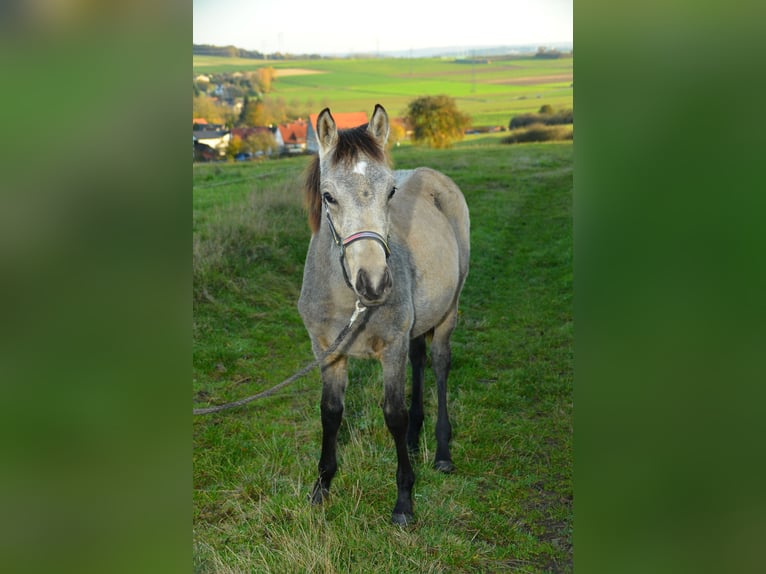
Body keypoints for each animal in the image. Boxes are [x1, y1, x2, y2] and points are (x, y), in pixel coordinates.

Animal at [298, 104, 468, 528]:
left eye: (390, 192)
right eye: (328, 196)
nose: (373, 283)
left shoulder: (391, 349)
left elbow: (393, 414)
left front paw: (404, 500)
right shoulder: (327, 353)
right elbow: (330, 413)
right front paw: (321, 487)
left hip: (449, 310)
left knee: (439, 364)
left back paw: (441, 451)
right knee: (420, 360)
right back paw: (416, 439)